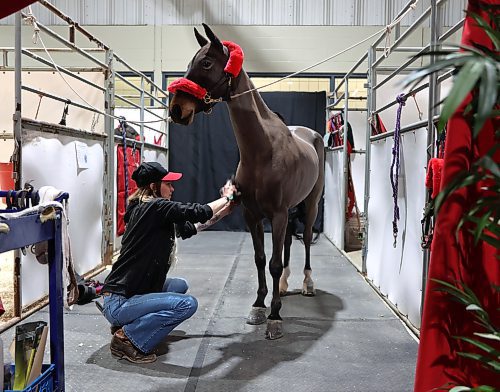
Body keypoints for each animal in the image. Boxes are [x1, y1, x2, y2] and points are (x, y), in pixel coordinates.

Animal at [168, 23, 324, 340]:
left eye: (206, 63)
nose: (177, 110)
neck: (263, 151)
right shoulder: (252, 215)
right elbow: (261, 259)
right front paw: (260, 305)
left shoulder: (277, 215)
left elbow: (273, 263)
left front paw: (275, 317)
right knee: (287, 242)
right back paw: (285, 286)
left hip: (310, 205)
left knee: (306, 239)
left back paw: (307, 284)